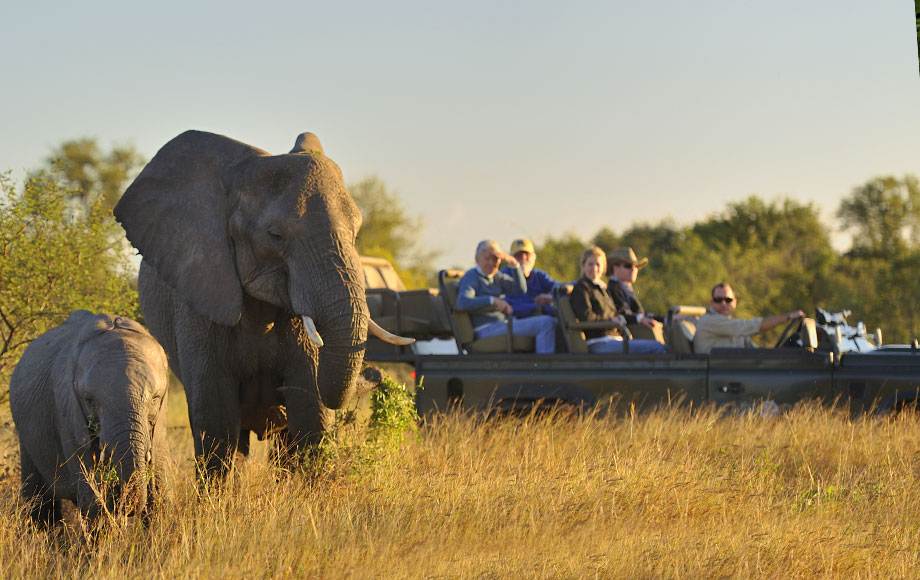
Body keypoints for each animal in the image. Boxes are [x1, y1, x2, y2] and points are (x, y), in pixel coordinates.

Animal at [9, 310, 171, 528]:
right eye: (89, 400)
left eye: (155, 398)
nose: (125, 508)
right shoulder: (67, 411)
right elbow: (93, 499)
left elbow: (159, 494)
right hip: (26, 438)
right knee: (40, 506)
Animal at [111, 131, 410, 476]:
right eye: (275, 235)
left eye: (356, 235)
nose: (377, 373)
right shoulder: (200, 294)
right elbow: (215, 418)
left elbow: (312, 412)